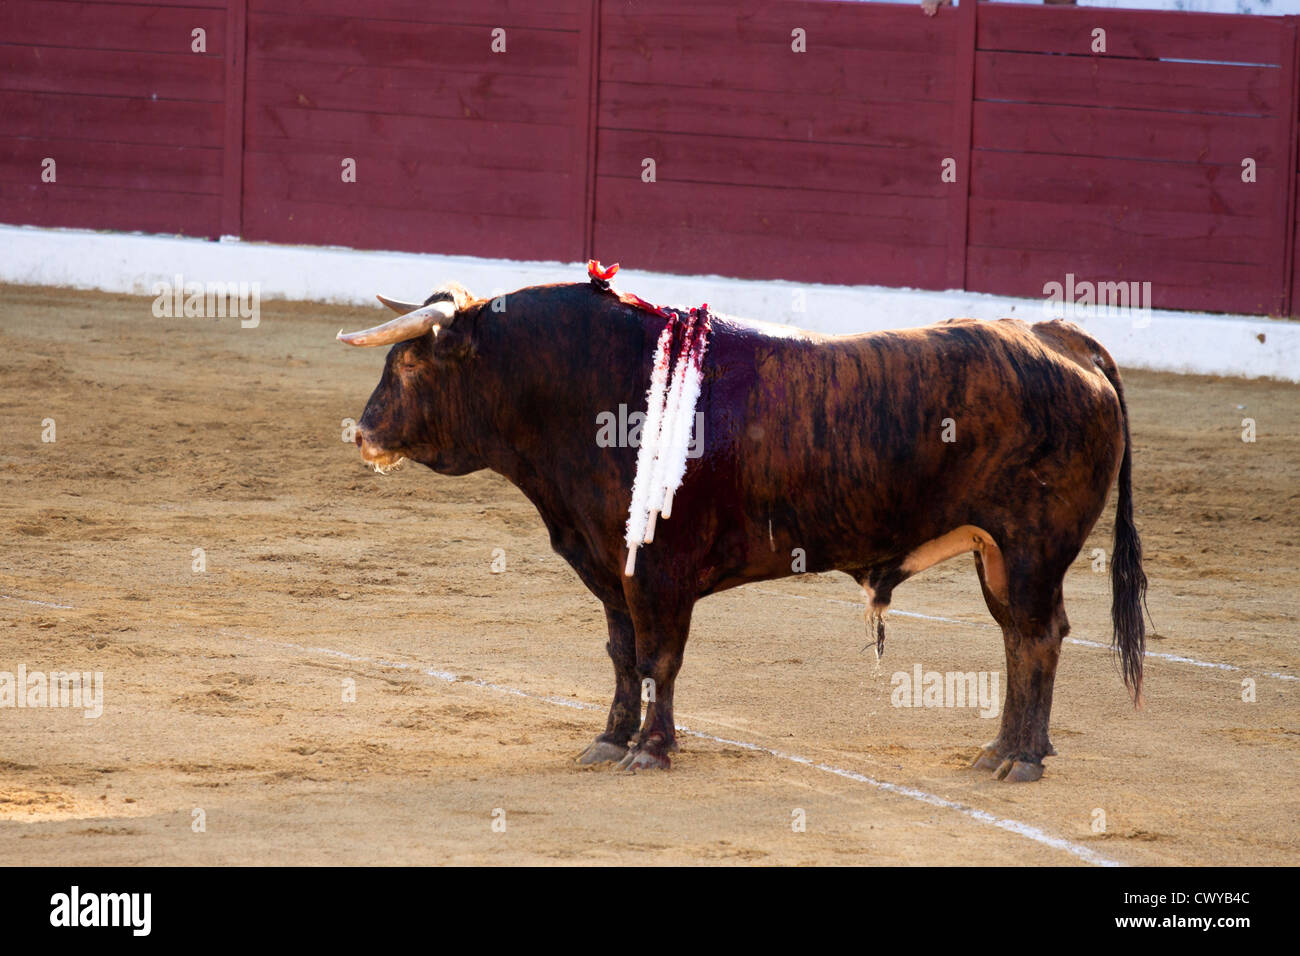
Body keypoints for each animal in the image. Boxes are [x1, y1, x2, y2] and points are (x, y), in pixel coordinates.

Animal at [338, 273, 1149, 780]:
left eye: (409, 365)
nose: (363, 434)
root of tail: (1061, 338)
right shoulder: (610, 568)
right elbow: (622, 655)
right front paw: (608, 739)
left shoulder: (658, 573)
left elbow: (659, 658)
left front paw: (651, 750)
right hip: (998, 555)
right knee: (1021, 637)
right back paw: (999, 751)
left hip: (1032, 548)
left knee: (1036, 638)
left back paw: (1023, 760)